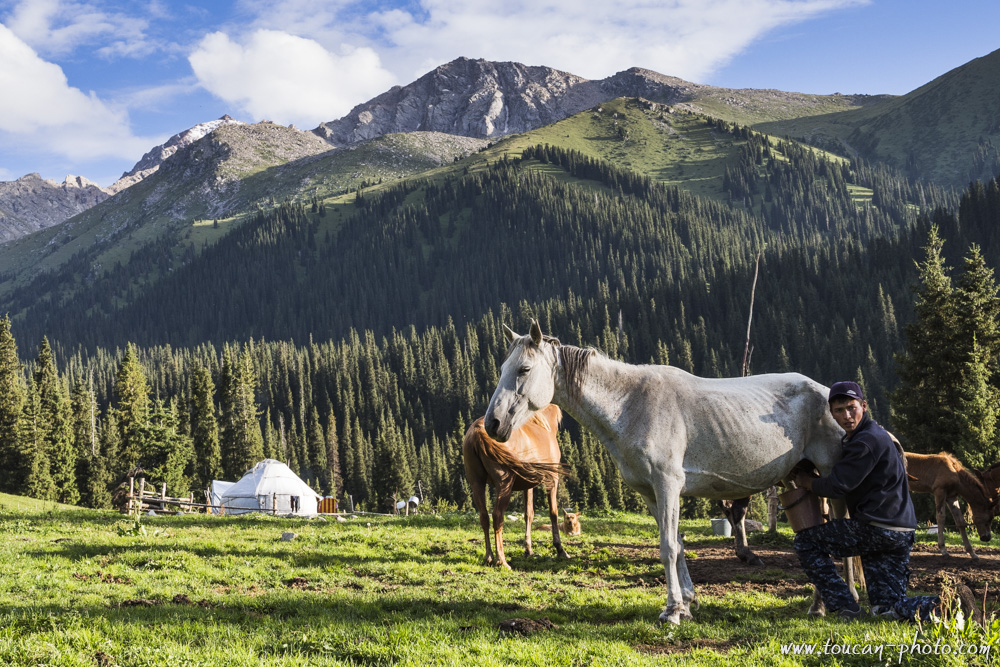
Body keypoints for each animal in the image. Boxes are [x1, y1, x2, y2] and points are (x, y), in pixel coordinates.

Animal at [462, 404, 572, 572]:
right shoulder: (552, 479)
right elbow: (553, 513)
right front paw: (560, 549)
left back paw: (489, 557)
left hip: (477, 483)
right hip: (504, 484)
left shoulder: (528, 485)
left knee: (484, 517)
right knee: (497, 516)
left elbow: (529, 514)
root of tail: (478, 431)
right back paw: (501, 560)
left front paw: (528, 549)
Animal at [484, 324, 852, 628]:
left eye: (524, 369)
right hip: (803, 478)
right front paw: (687, 603)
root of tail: (826, 393)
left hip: (830, 475)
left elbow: (668, 547)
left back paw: (847, 601)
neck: (630, 404)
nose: (492, 423)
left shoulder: (668, 486)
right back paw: (819, 606)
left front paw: (672, 611)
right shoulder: (651, 492)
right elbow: (677, 542)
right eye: (502, 369)